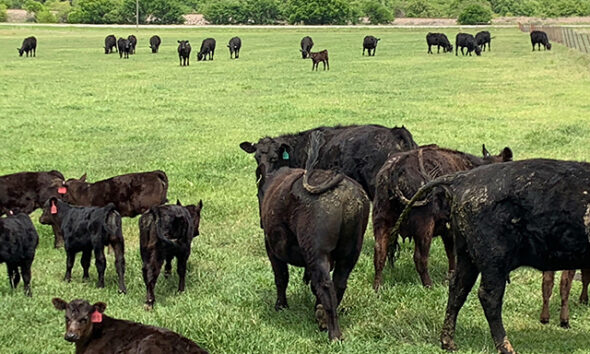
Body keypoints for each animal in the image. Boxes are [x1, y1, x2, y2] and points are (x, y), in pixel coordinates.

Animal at [260, 131, 370, 342]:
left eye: (273, 157)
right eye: (257, 156)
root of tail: (345, 191)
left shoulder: (271, 245)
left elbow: (281, 277)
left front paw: (280, 306)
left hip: (317, 251)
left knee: (325, 285)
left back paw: (333, 333)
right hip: (351, 251)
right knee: (339, 283)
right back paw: (323, 317)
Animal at [374, 144, 512, 290]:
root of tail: (397, 166)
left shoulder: (448, 231)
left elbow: (451, 253)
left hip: (381, 221)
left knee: (379, 254)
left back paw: (377, 287)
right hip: (424, 227)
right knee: (420, 258)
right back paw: (429, 285)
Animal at [396, 159, 590, 352]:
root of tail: (463, 178)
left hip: (467, 256)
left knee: (458, 288)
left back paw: (448, 343)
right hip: (493, 261)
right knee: (489, 297)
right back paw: (506, 347)